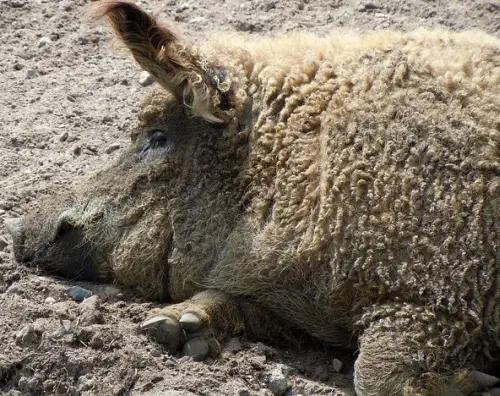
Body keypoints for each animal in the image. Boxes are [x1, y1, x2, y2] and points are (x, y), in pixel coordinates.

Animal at [4, 1, 500, 394]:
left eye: (157, 137)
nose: (20, 230)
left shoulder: (443, 295)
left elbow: (376, 374)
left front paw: (478, 382)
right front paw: (166, 329)